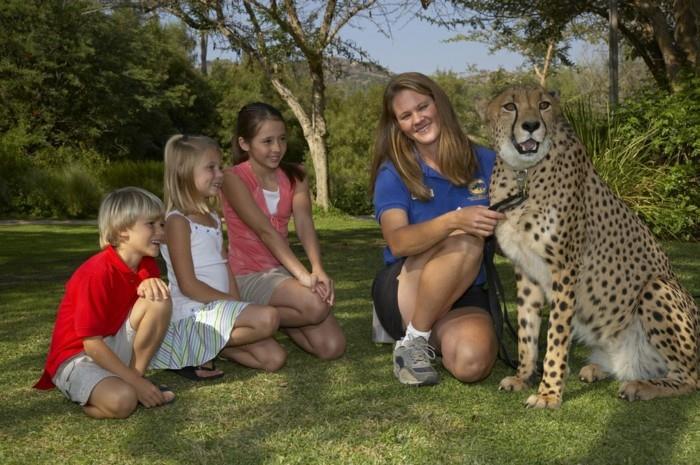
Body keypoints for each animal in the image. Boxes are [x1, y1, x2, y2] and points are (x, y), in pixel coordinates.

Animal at [482, 85, 700, 408]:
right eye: (510, 106)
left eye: (543, 105)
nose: (531, 125)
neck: (523, 174)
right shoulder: (526, 270)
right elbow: (526, 331)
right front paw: (523, 376)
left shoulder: (565, 269)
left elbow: (557, 336)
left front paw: (549, 392)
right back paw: (598, 370)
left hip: (658, 287)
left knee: (689, 378)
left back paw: (640, 387)